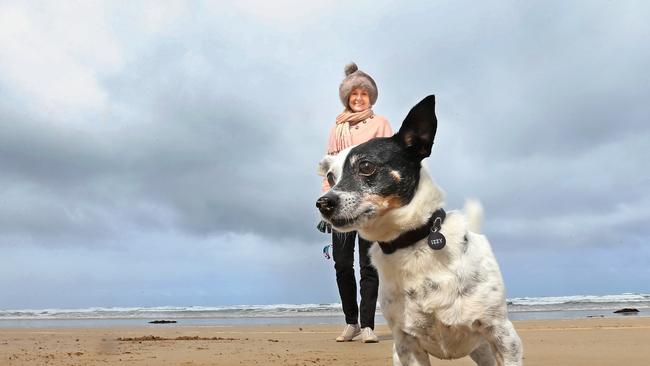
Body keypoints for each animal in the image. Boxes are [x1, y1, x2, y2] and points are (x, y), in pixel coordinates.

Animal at [316, 96, 520, 364]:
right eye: (331, 177)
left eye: (366, 166)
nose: (322, 203)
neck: (410, 242)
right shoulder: (407, 344)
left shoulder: (504, 336)